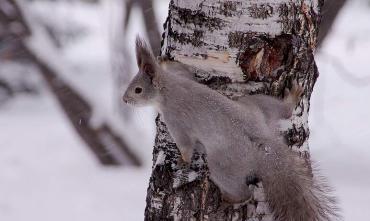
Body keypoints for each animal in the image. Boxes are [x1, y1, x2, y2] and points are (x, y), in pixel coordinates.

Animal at [123, 37, 340, 220]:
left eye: (137, 90)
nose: (124, 100)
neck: (168, 89)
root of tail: (264, 145)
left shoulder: (176, 120)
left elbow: (185, 145)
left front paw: (182, 160)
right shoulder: (183, 77)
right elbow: (184, 70)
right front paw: (164, 60)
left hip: (223, 165)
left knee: (243, 192)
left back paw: (229, 199)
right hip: (256, 105)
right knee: (284, 111)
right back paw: (292, 97)